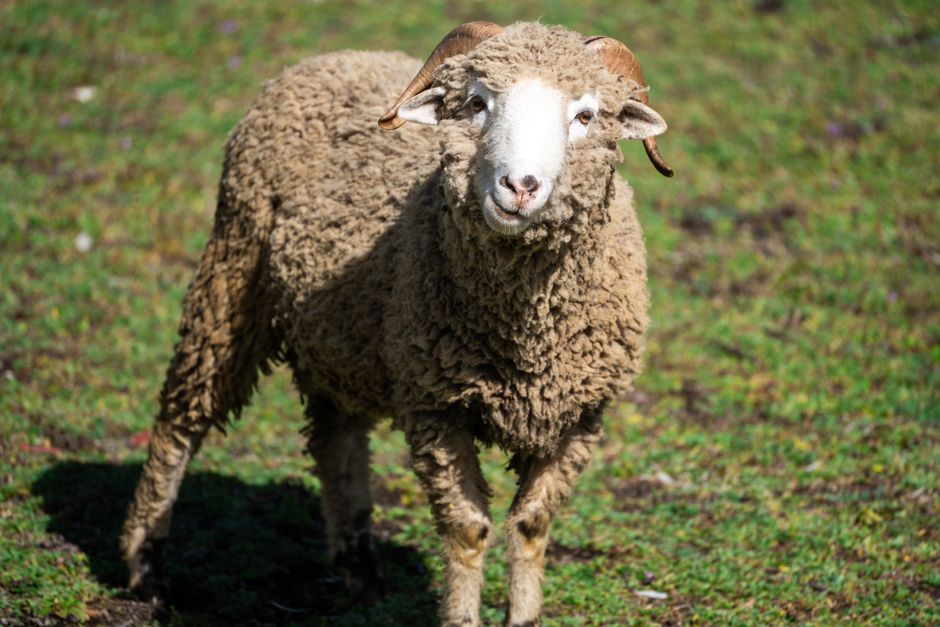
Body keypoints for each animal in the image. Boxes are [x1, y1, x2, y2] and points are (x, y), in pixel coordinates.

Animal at [121, 21, 672, 626]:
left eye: (586, 115)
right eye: (476, 103)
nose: (519, 186)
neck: (527, 337)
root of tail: (338, 57)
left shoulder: (578, 417)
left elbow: (531, 526)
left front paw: (523, 614)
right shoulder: (436, 407)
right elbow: (467, 530)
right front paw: (461, 615)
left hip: (340, 333)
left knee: (335, 439)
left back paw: (361, 570)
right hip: (232, 270)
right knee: (183, 417)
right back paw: (146, 564)